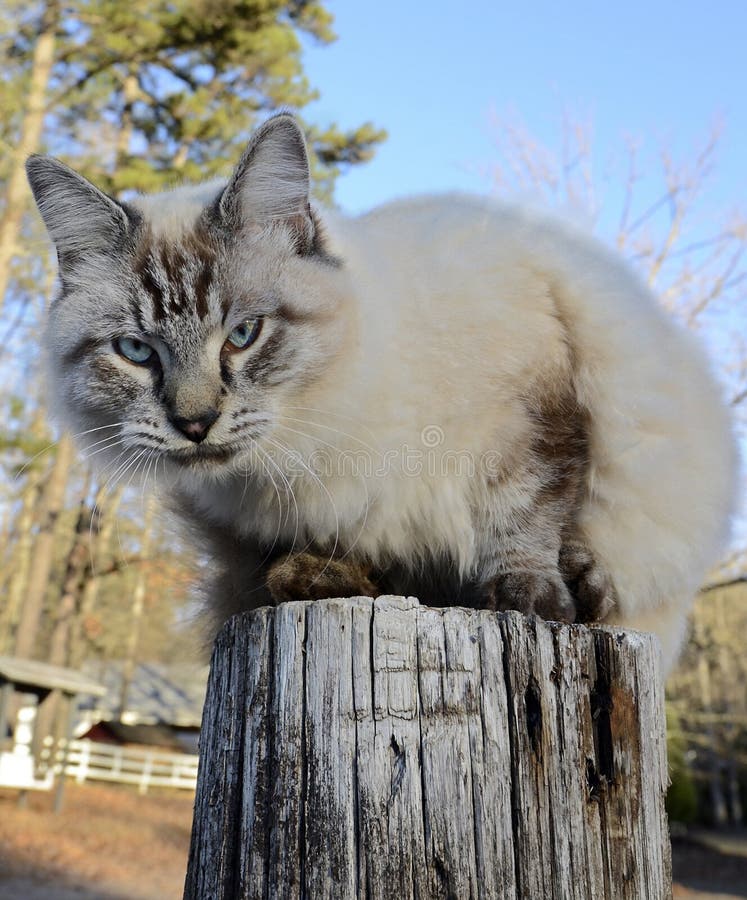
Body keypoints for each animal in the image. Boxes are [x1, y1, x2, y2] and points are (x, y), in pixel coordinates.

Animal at [24, 112, 736, 672]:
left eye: (244, 335)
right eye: (136, 352)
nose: (194, 423)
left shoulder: (535, 407)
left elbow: (527, 512)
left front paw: (532, 601)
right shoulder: (266, 522)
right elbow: (311, 560)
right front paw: (321, 575)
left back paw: (582, 587)